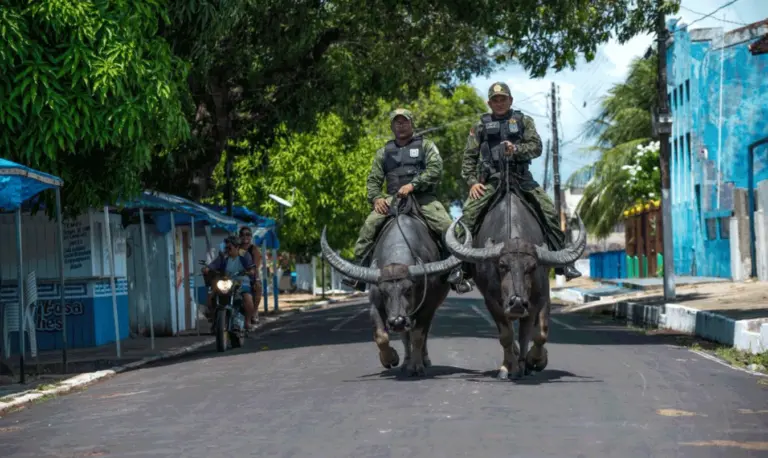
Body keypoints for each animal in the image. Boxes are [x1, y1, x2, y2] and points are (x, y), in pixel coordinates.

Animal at [320, 203, 474, 376]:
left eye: (409, 290)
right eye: (383, 292)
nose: (396, 321)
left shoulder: (427, 307)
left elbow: (418, 336)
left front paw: (416, 366)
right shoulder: (376, 306)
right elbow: (381, 336)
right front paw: (391, 359)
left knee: (422, 333)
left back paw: (423, 359)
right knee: (404, 336)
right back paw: (405, 361)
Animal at [440, 190, 584, 380]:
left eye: (532, 266)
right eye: (502, 265)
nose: (517, 303)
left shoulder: (540, 298)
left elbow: (537, 333)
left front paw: (533, 361)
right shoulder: (493, 302)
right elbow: (507, 335)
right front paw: (510, 368)